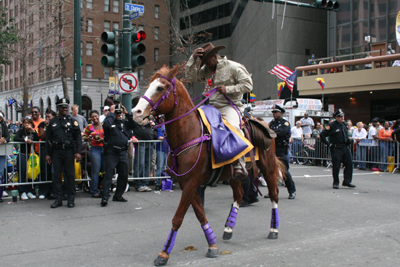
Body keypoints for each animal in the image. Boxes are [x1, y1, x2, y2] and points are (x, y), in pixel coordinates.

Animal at [134, 66, 284, 266]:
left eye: (159, 87)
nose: (136, 112)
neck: (191, 134)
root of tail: (262, 122)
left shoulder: (191, 182)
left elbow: (178, 218)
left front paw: (164, 253)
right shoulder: (188, 184)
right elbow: (200, 214)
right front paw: (212, 244)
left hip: (268, 167)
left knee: (274, 194)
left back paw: (274, 229)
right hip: (233, 175)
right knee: (239, 195)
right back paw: (228, 228)